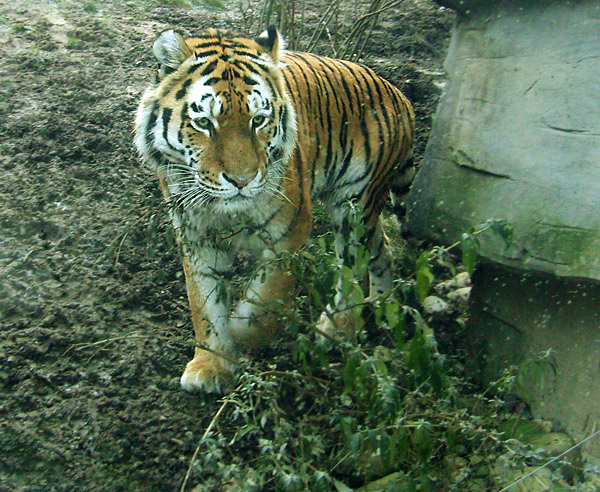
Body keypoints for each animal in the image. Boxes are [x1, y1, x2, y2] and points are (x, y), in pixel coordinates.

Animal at [136, 26, 414, 394]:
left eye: (258, 120)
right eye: (204, 123)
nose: (242, 180)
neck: (226, 211)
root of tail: (400, 94)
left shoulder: (290, 231)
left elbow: (265, 301)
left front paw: (239, 333)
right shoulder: (196, 238)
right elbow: (204, 303)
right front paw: (211, 365)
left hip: (355, 205)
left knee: (352, 267)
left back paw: (337, 327)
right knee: (382, 250)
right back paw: (382, 306)